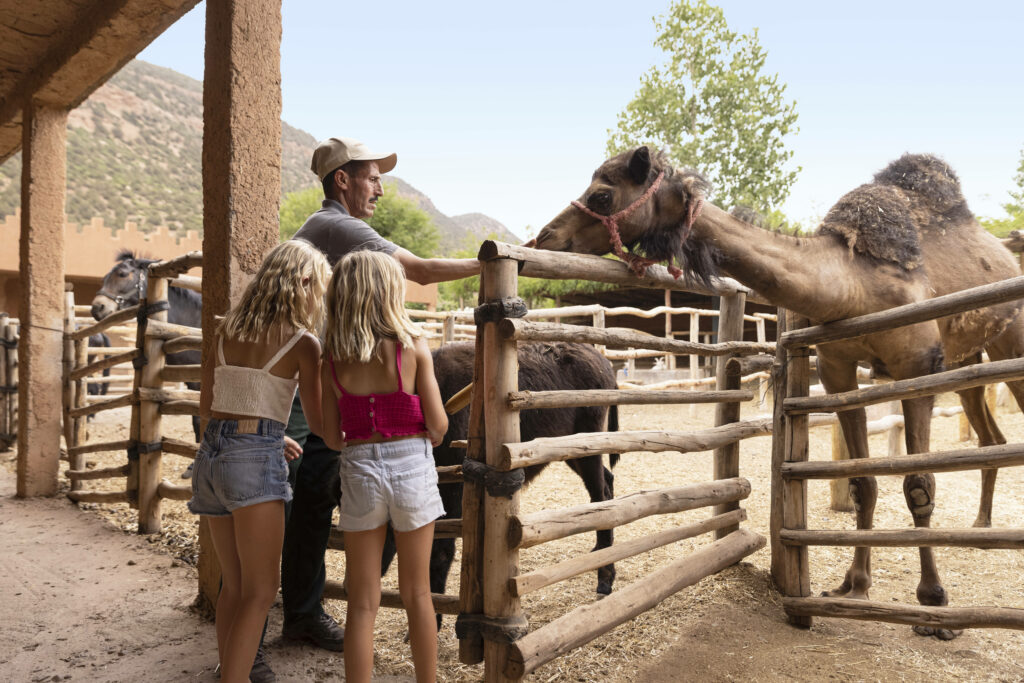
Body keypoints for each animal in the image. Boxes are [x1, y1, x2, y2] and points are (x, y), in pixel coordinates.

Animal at [532, 145, 1024, 643]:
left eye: (602, 194)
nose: (545, 236)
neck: (854, 283)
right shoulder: (839, 368)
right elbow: (863, 483)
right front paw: (854, 586)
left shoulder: (918, 366)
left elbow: (918, 484)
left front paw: (934, 605)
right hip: (966, 361)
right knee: (992, 437)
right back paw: (981, 524)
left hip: (1007, 340)